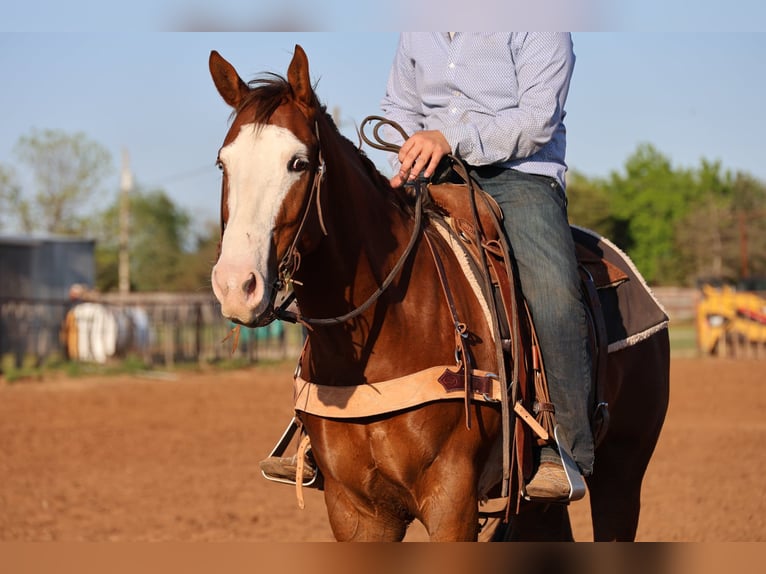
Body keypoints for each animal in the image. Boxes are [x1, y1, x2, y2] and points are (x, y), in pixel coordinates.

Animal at [208, 45, 670, 542]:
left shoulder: (452, 502)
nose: (236, 284)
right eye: (223, 163)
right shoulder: (355, 510)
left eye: (297, 162)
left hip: (624, 471)